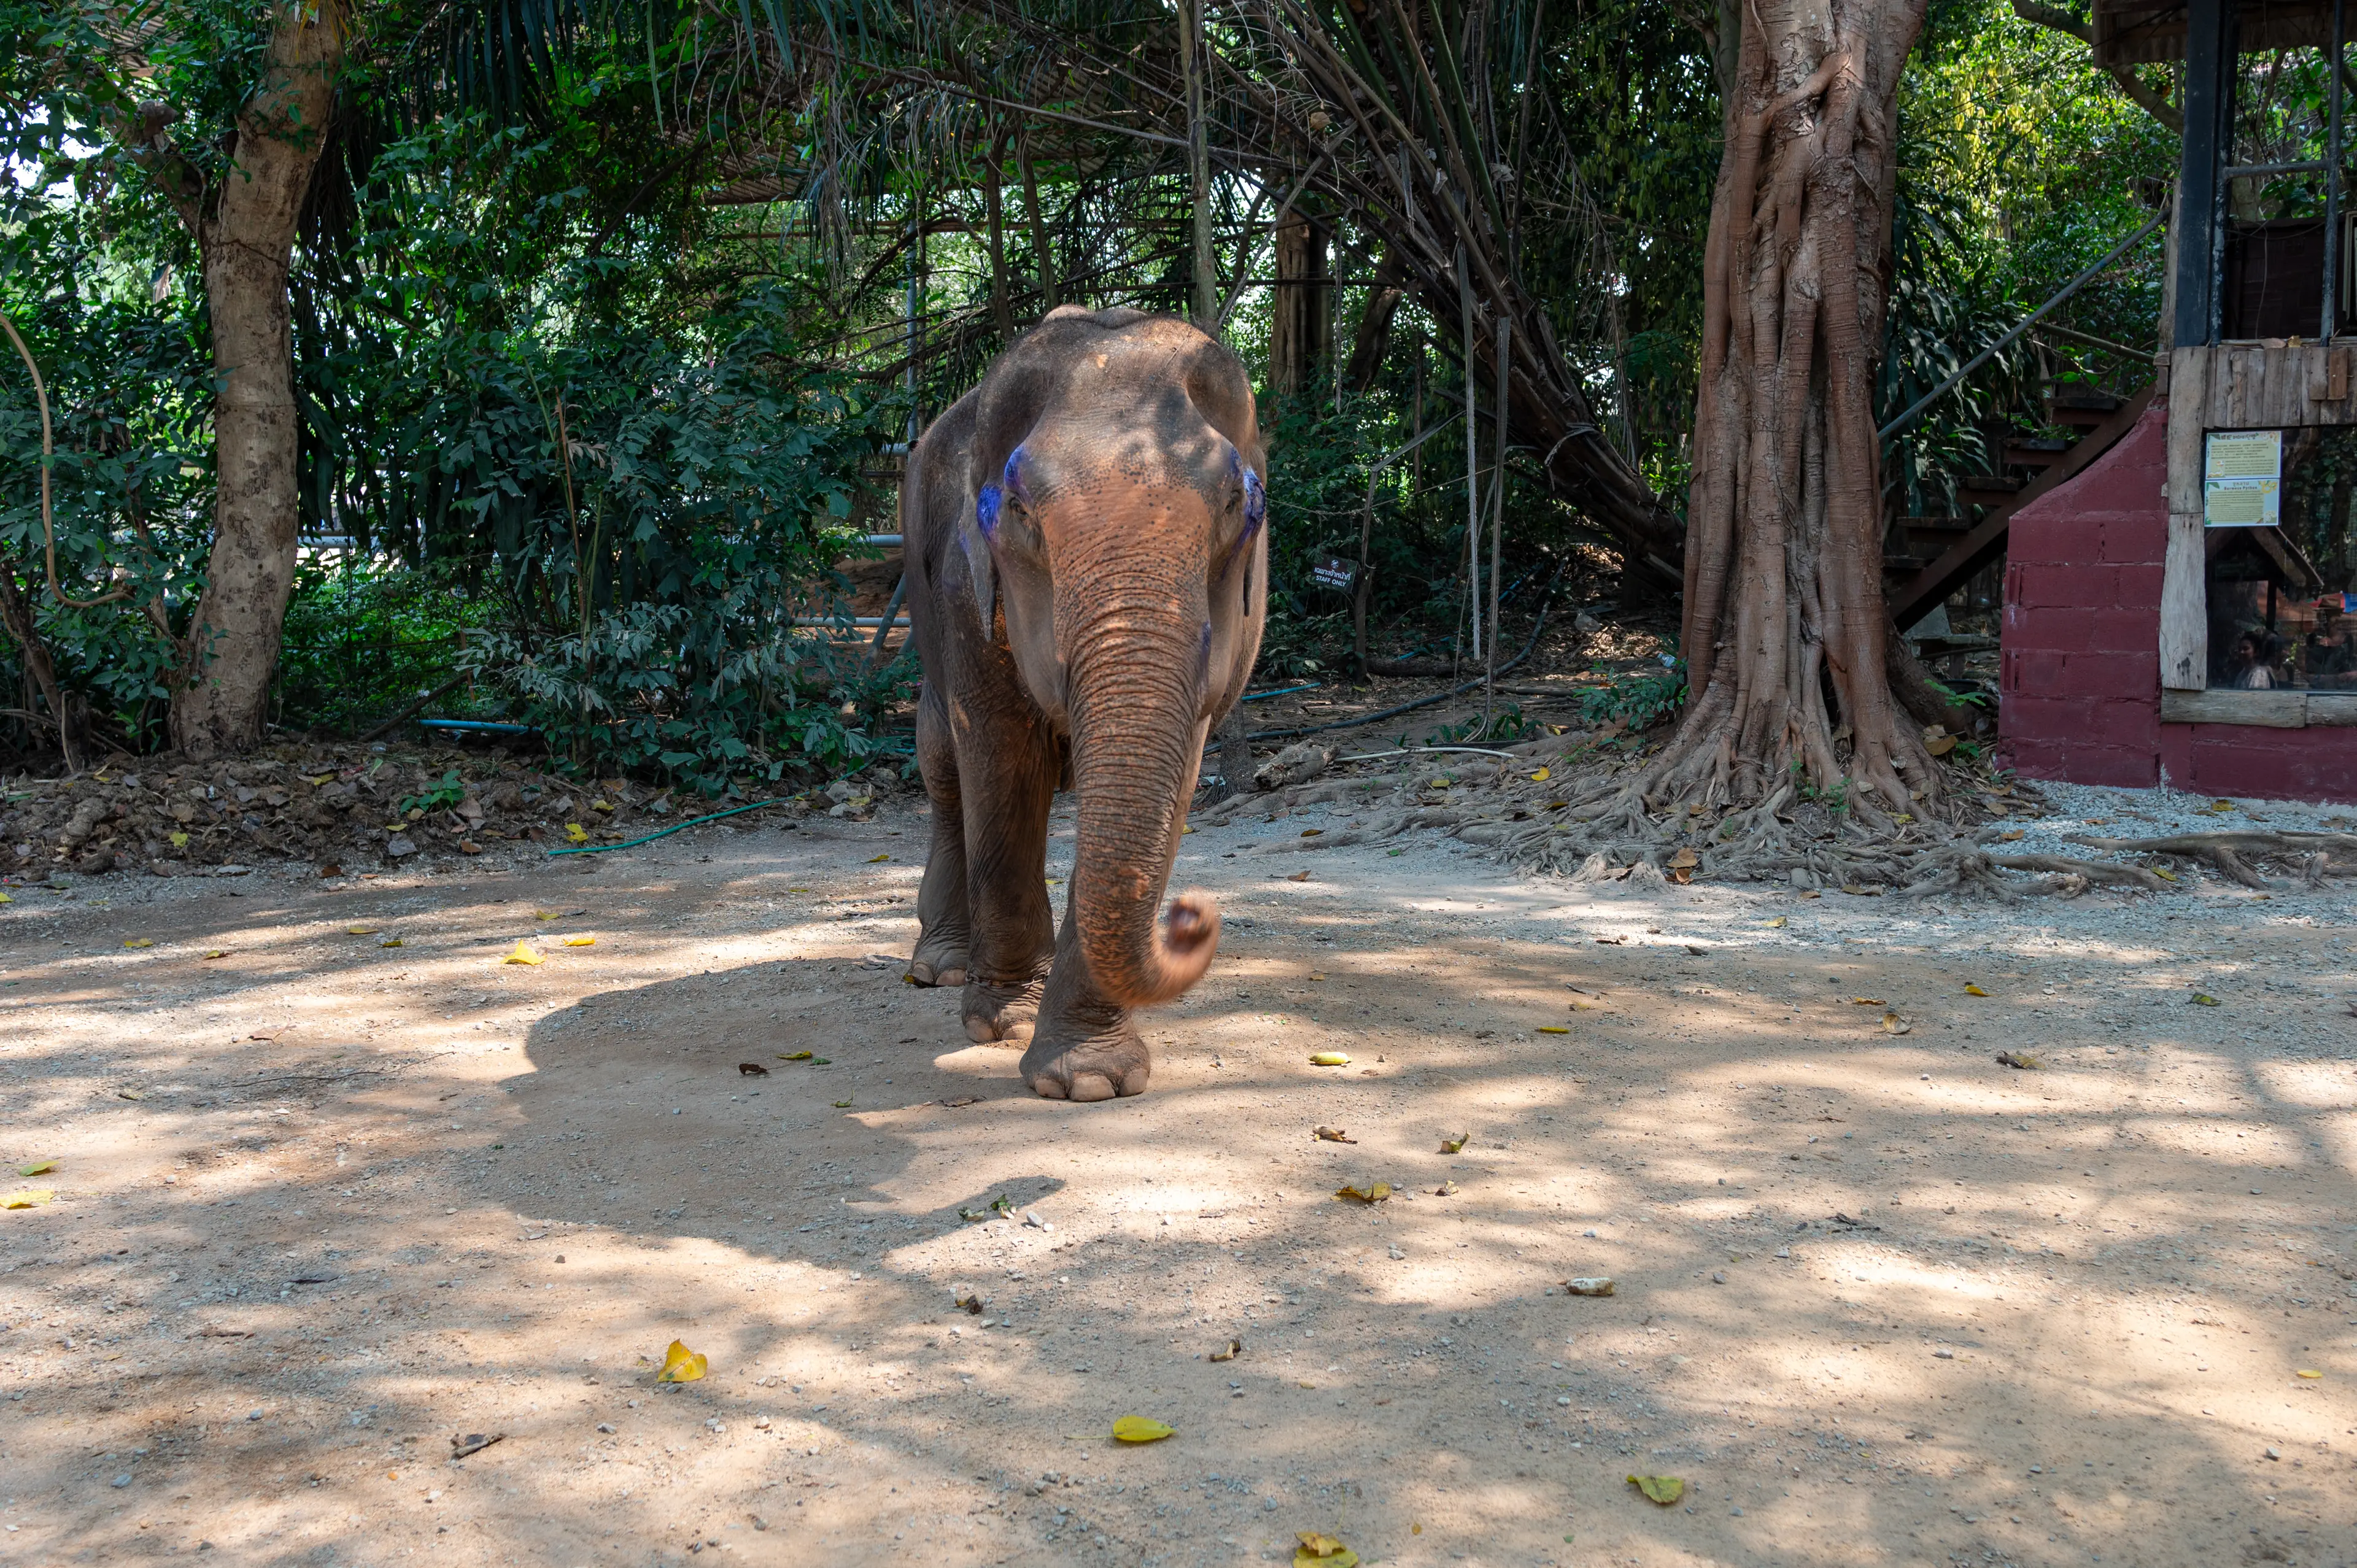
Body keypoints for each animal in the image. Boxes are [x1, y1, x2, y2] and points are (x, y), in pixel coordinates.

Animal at [900, 306, 1272, 1099]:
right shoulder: (963, 590)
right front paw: (1004, 1024)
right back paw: (942, 967)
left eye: (1237, 505)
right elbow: (1001, 763)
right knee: (941, 761)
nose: (1192, 914)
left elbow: (1174, 783)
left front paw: (1092, 1079)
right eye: (1017, 510)